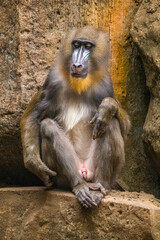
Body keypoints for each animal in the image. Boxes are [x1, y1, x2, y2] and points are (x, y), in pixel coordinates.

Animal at [20, 25, 130, 207]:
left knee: (109, 124)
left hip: (101, 171)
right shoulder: (52, 81)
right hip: (62, 176)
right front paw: (35, 164)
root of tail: (85, 172)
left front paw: (107, 107)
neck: (79, 86)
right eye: (76, 44)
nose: (77, 65)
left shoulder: (106, 84)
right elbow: (33, 116)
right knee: (48, 126)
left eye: (88, 46)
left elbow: (125, 126)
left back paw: (100, 187)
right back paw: (80, 186)